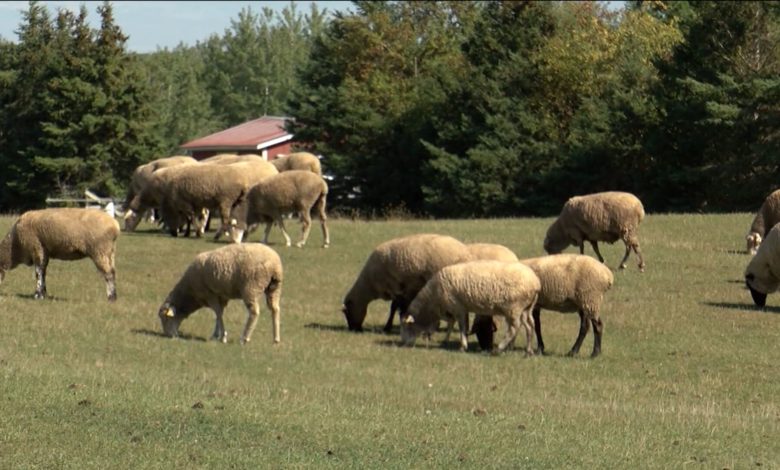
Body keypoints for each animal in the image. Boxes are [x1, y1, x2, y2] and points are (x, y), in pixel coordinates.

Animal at [342, 234, 476, 330]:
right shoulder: (404, 290)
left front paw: (388, 327)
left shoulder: (396, 288)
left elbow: (394, 308)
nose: (354, 329)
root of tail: (467, 254)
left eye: (347, 312)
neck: (368, 284)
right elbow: (400, 308)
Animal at [400, 258, 540, 354]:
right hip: (526, 308)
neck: (433, 297)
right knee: (530, 325)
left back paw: (499, 349)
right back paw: (528, 351)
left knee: (514, 328)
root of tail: (535, 282)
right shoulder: (459, 308)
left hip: (514, 308)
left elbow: (461, 326)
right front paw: (450, 340)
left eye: (407, 326)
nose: (404, 344)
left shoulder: (457, 307)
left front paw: (463, 346)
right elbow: (455, 324)